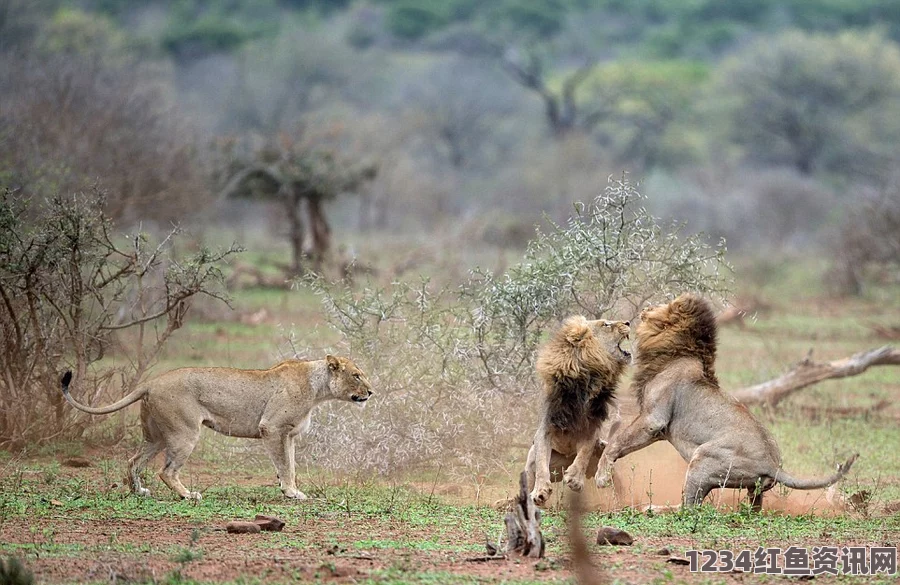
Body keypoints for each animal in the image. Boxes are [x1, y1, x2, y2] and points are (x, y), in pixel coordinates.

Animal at [524, 314, 628, 506]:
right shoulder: (546, 428)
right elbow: (542, 464)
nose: (628, 322)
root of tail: (566, 459)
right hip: (537, 463)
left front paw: (574, 479)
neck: (587, 377)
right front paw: (540, 491)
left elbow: (584, 454)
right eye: (605, 324)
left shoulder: (591, 428)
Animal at [596, 294, 856, 508]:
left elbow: (616, 443)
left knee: (690, 508)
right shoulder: (659, 429)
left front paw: (601, 476)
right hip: (751, 489)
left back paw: (652, 508)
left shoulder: (654, 419)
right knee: (750, 509)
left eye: (662, 305)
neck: (679, 350)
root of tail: (773, 465)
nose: (645, 308)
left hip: (702, 459)